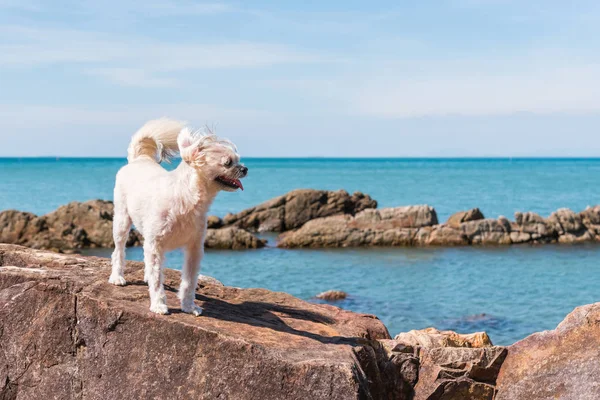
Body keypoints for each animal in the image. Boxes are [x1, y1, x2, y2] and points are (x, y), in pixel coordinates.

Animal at [109, 118, 247, 316]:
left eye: (238, 160)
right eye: (228, 162)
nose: (245, 169)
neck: (186, 199)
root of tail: (139, 159)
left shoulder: (194, 248)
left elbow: (189, 281)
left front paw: (189, 306)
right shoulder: (156, 244)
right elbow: (157, 278)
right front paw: (158, 304)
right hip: (121, 220)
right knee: (118, 250)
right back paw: (117, 276)